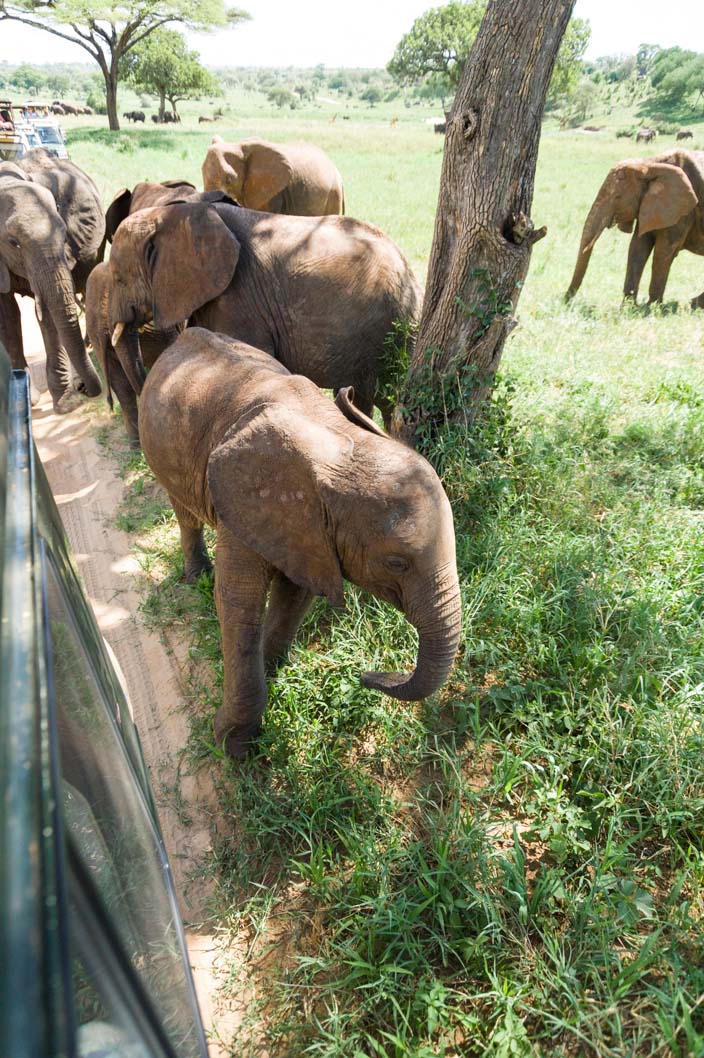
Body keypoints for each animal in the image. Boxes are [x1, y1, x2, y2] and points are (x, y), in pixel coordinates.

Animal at [139, 330, 463, 761]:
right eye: (397, 563)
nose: (368, 674)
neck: (336, 437)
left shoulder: (311, 532)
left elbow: (297, 594)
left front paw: (272, 668)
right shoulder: (244, 501)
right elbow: (237, 603)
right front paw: (234, 747)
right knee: (184, 512)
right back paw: (196, 578)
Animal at [567, 149, 702, 308]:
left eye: (617, 197)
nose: (565, 300)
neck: (648, 164)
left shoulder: (683, 210)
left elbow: (663, 251)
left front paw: (650, 307)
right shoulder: (649, 205)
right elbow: (637, 247)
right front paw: (628, 307)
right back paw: (692, 304)